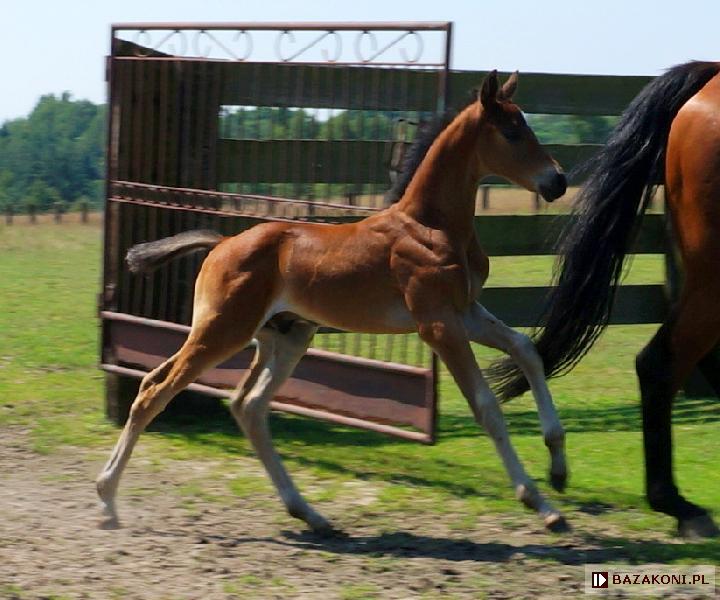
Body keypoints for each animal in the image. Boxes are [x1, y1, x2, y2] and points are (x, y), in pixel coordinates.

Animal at [96, 71, 570, 534]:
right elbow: (486, 406)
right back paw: (107, 501)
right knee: (155, 390)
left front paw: (558, 468)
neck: (430, 226)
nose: (558, 181)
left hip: (285, 337)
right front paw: (539, 502)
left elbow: (526, 350)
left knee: (247, 405)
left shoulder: (466, 312)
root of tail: (222, 243)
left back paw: (308, 513)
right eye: (511, 131)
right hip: (223, 330)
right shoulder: (437, 324)